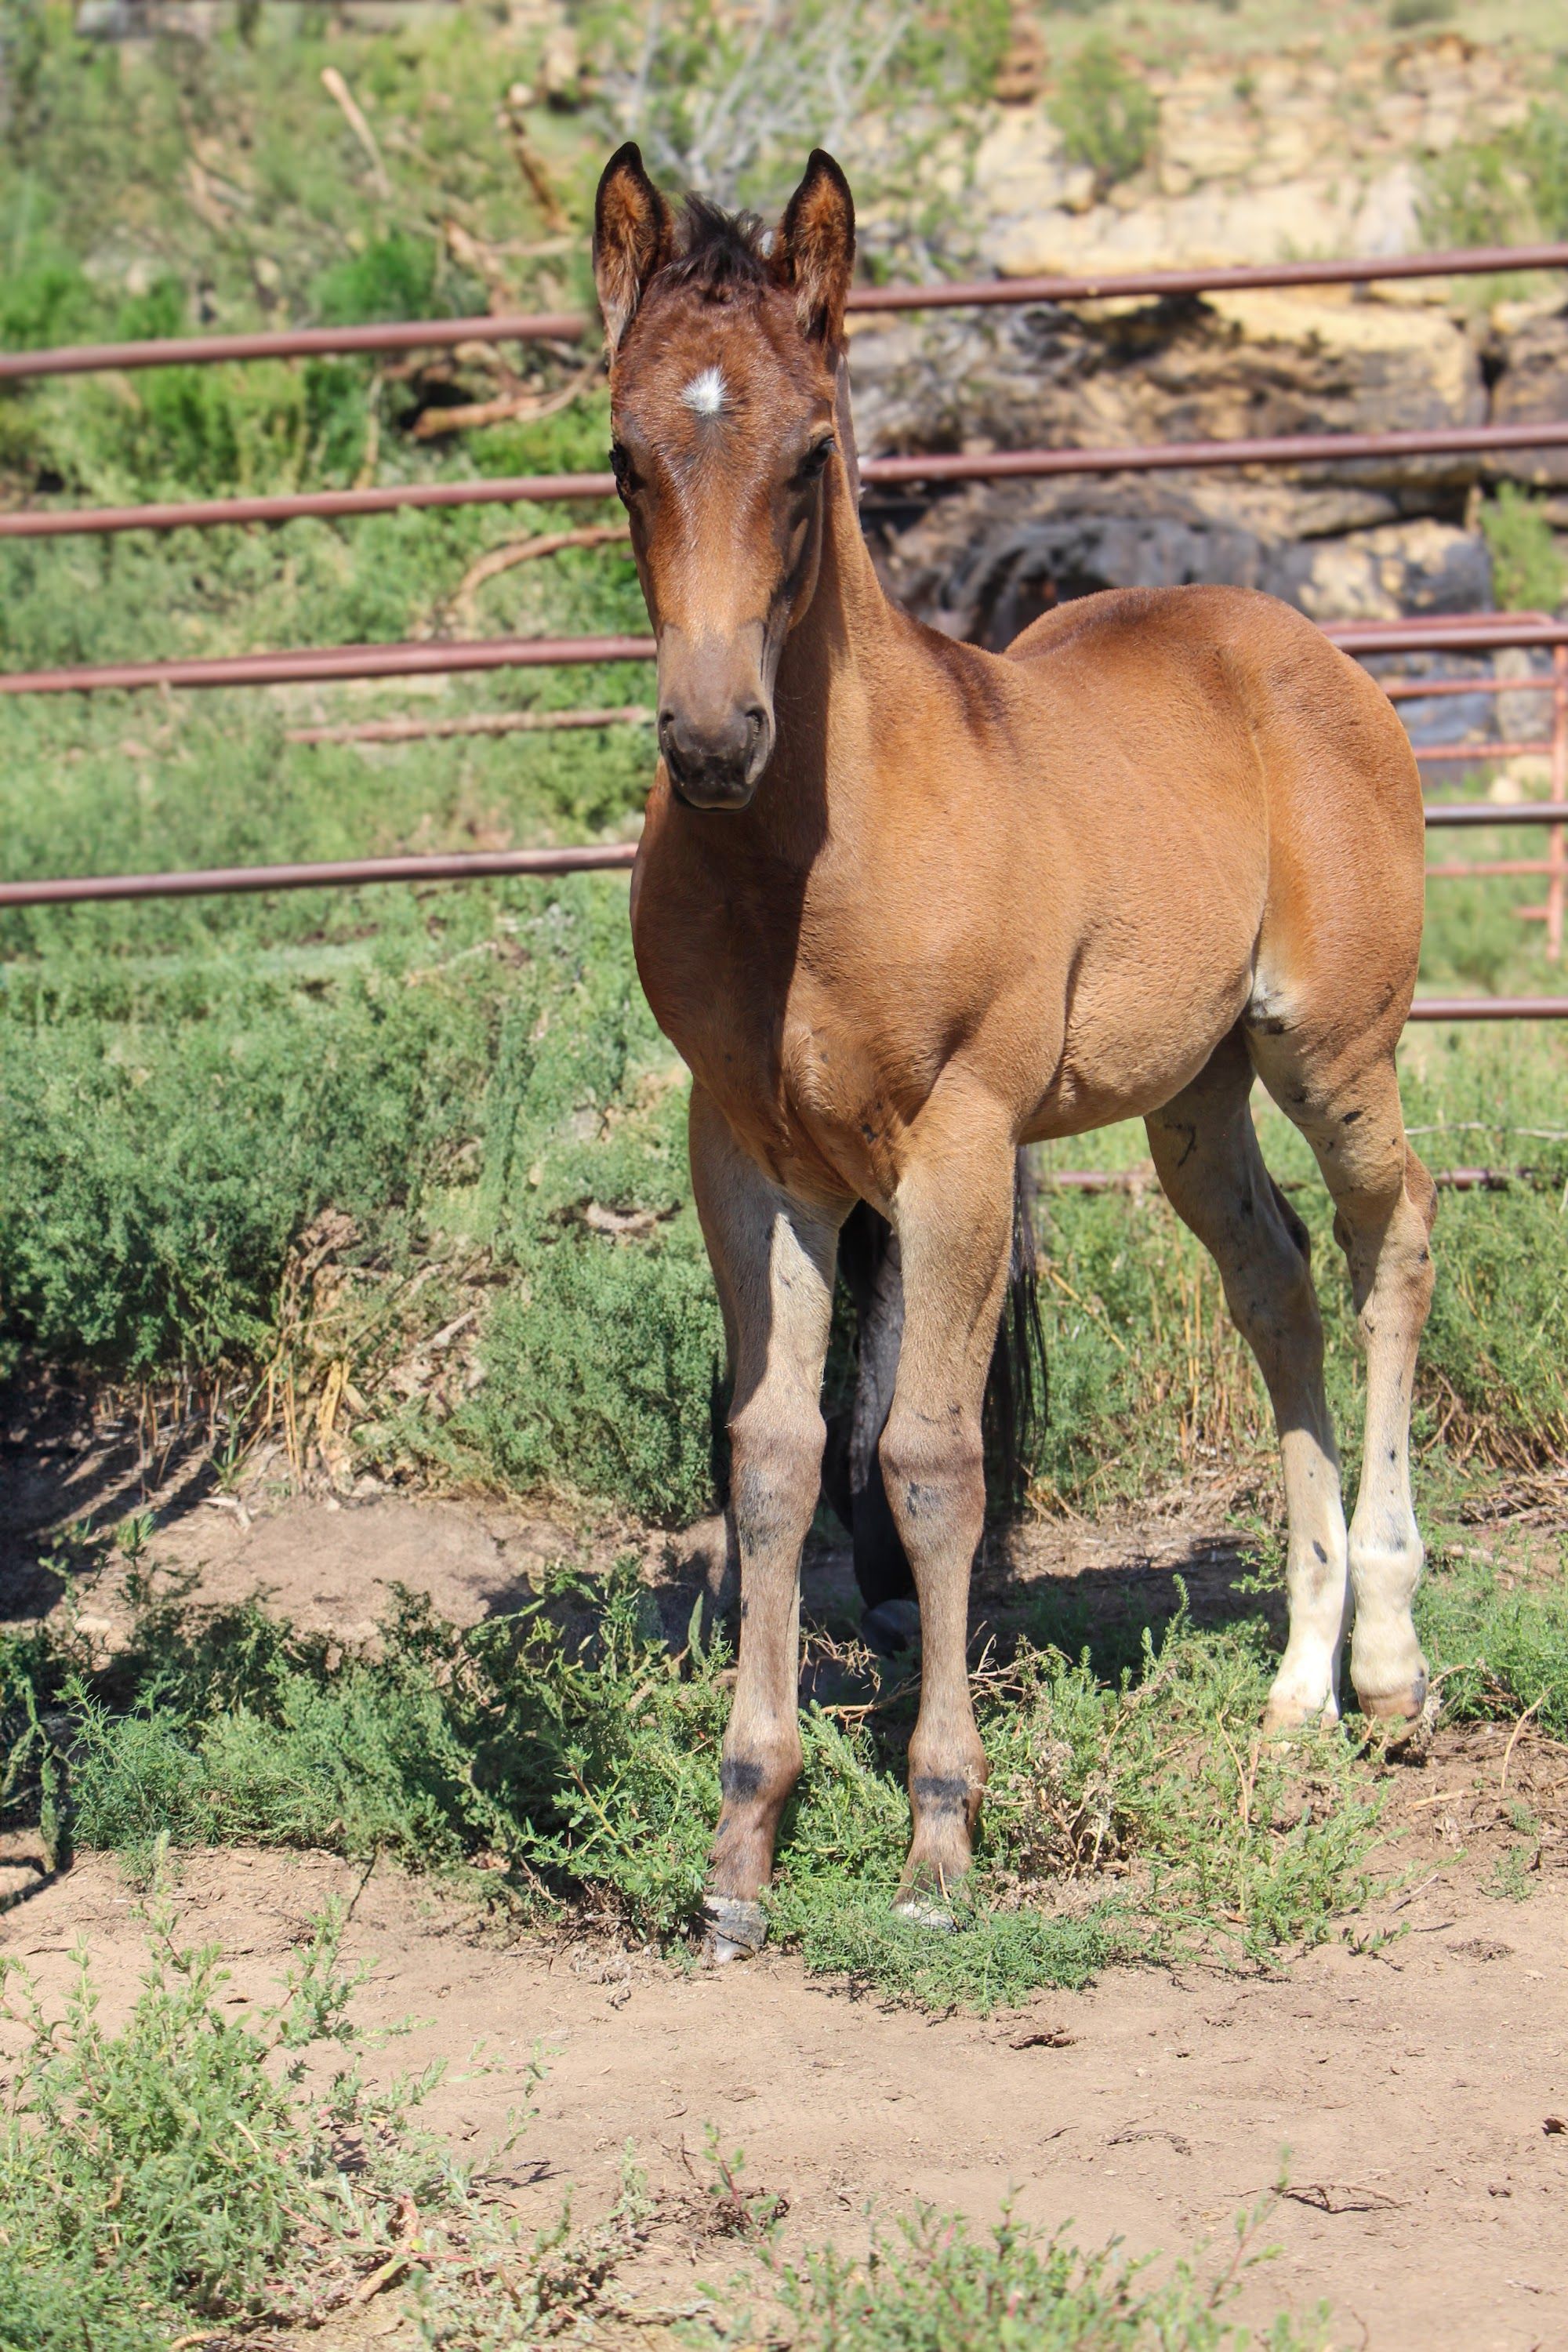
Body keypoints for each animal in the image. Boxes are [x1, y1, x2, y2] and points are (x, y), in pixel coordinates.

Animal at [594, 142, 1437, 1960]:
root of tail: (1300, 645)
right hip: (1193, 1096)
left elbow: (927, 1458)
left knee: (1389, 1237)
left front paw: (937, 1840)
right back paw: (1297, 1683)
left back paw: (1394, 1663)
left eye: (812, 452)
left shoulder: (957, 1146)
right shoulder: (745, 1153)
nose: (712, 737)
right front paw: (742, 1846)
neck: (809, 857)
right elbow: (772, 1458)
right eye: (624, 451)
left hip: (1334, 1044)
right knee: (1273, 1286)